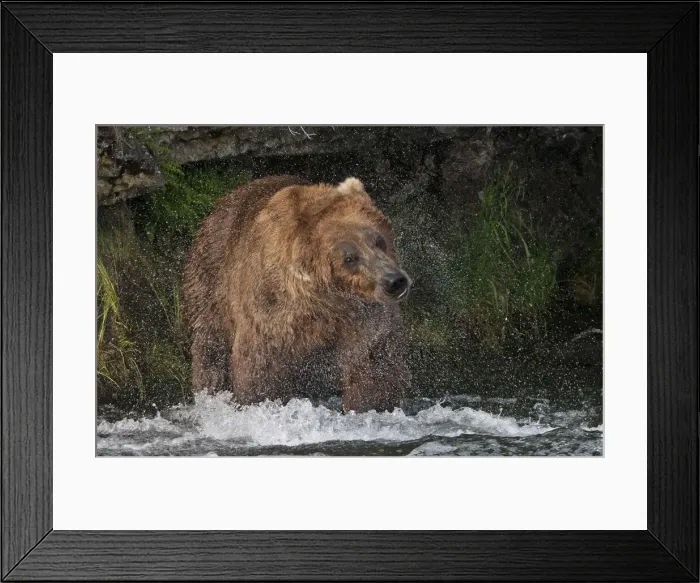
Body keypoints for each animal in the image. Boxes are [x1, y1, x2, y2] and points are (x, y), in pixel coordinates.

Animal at [182, 174, 412, 413]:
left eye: (378, 240)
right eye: (349, 258)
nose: (394, 281)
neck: (325, 302)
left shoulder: (362, 317)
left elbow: (373, 364)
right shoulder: (272, 312)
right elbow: (260, 367)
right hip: (211, 277)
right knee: (210, 345)